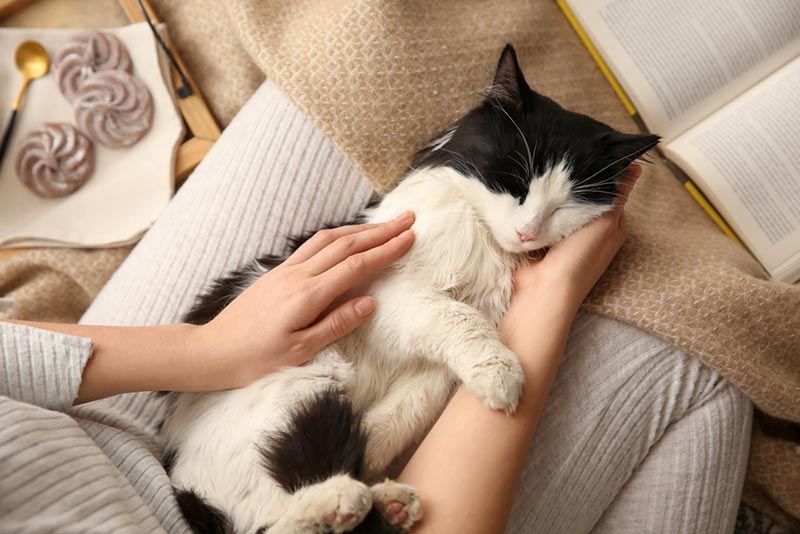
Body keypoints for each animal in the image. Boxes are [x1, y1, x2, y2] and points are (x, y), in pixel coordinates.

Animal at [159, 46, 660, 534]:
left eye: (564, 207)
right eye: (515, 183)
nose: (527, 232)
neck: (487, 244)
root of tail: (183, 482)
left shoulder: (434, 371)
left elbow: (400, 417)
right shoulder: (387, 293)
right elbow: (457, 320)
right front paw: (503, 378)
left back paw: (385, 503)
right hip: (307, 381)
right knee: (270, 523)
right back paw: (339, 502)